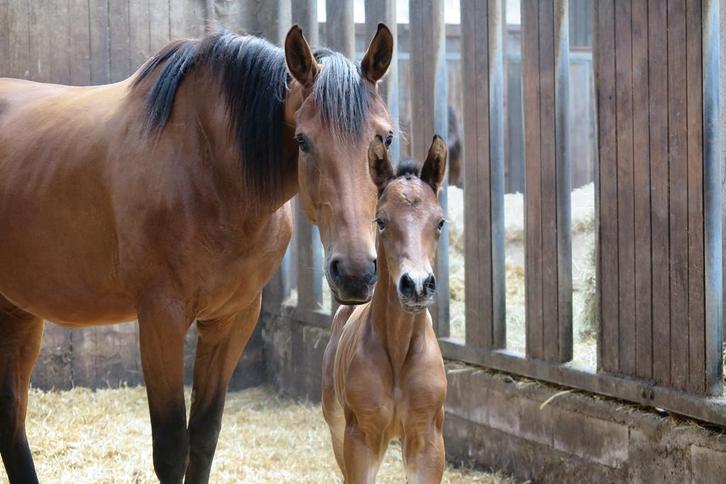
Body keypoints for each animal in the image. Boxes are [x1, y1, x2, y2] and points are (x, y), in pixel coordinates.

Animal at [0, 24, 394, 483]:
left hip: (18, 313)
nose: (354, 272)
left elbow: (204, 436)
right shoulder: (161, 318)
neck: (208, 167)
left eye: (385, 137)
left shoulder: (232, 319)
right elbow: (172, 447)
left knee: (11, 419)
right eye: (302, 140)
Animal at [322, 135, 448, 483]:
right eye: (381, 221)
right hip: (337, 428)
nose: (416, 285)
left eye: (440, 221)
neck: (399, 352)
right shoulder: (360, 438)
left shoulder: (427, 441)